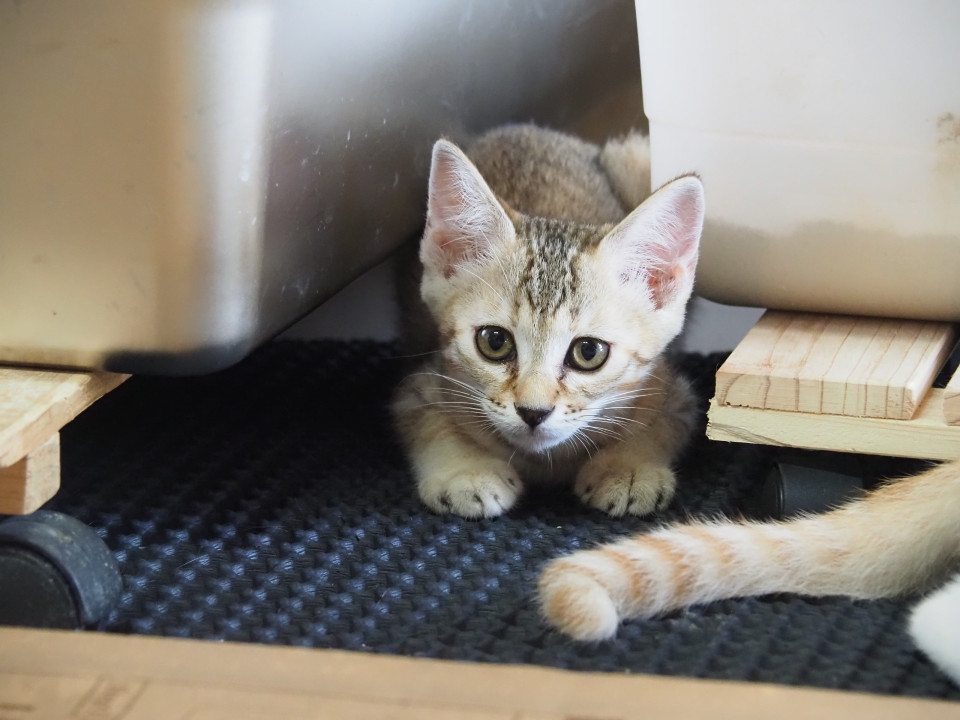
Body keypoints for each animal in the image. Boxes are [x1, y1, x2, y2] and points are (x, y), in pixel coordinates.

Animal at [392, 124, 705, 519]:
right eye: (494, 342)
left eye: (589, 352)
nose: (533, 412)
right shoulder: (419, 385)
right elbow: (429, 422)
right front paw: (464, 470)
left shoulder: (674, 392)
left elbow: (660, 425)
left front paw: (628, 468)